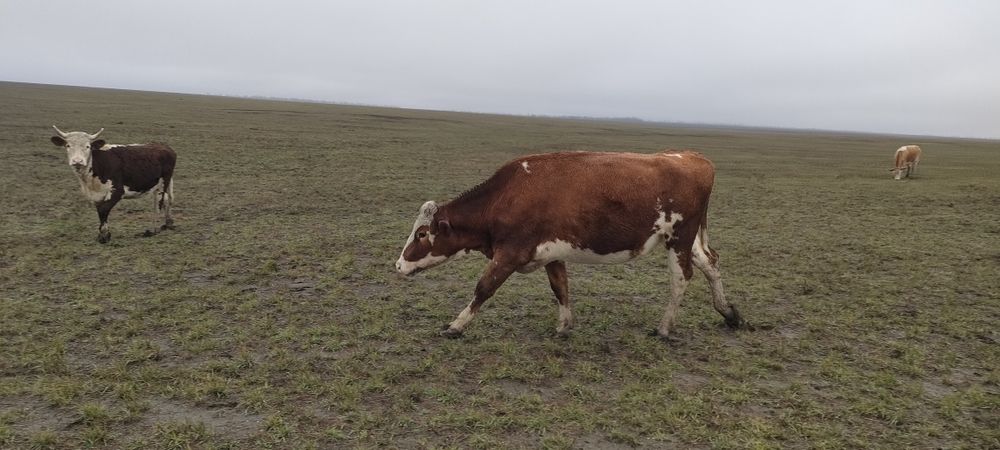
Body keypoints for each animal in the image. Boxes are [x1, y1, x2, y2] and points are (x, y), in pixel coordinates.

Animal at [395, 151, 746, 340]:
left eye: (422, 234)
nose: (399, 265)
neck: (506, 197)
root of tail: (693, 158)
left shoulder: (510, 253)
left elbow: (483, 288)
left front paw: (455, 326)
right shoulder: (551, 251)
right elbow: (560, 287)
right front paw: (564, 326)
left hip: (678, 238)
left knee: (681, 278)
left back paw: (664, 328)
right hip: (687, 239)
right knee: (710, 262)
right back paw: (729, 313)